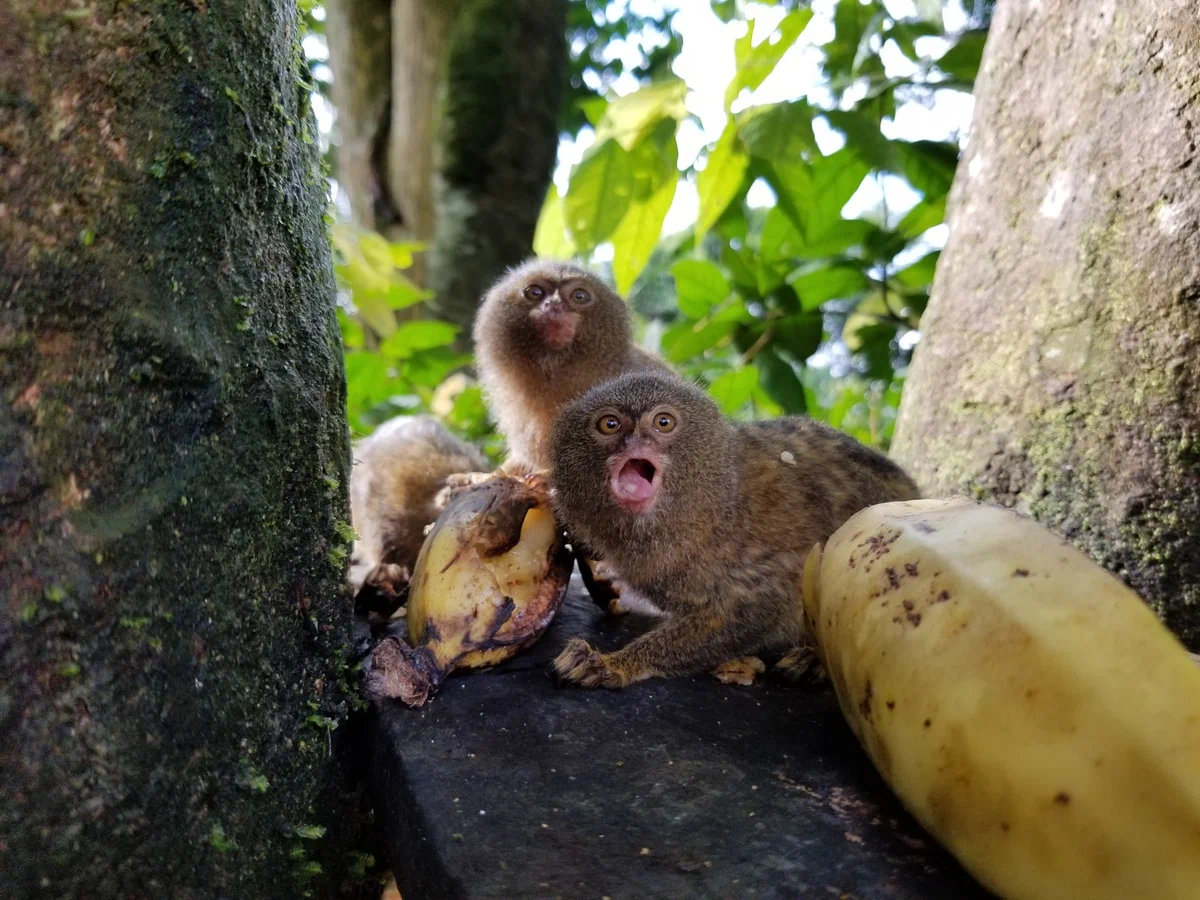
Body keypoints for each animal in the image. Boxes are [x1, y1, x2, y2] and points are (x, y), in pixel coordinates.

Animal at [549, 374, 916, 691]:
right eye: (609, 424)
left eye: (663, 423)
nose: (635, 441)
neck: (711, 506)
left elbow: (757, 606)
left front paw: (615, 663)